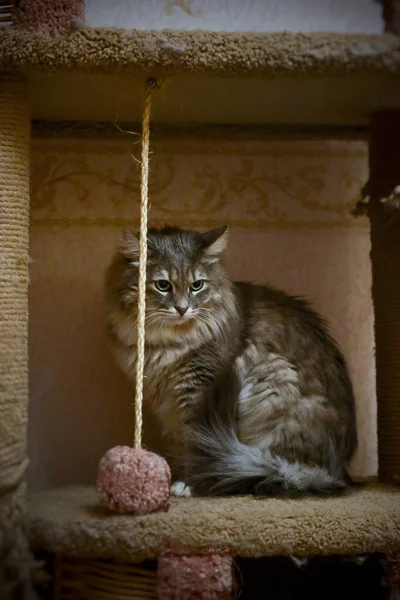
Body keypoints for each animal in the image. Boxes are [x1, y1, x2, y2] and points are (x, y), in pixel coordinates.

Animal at [105, 225, 356, 496]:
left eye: (196, 285)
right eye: (162, 285)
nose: (182, 309)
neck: (166, 344)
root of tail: (336, 471)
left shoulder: (197, 389)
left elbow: (194, 442)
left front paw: (188, 484)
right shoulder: (169, 405)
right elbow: (180, 443)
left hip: (273, 382)